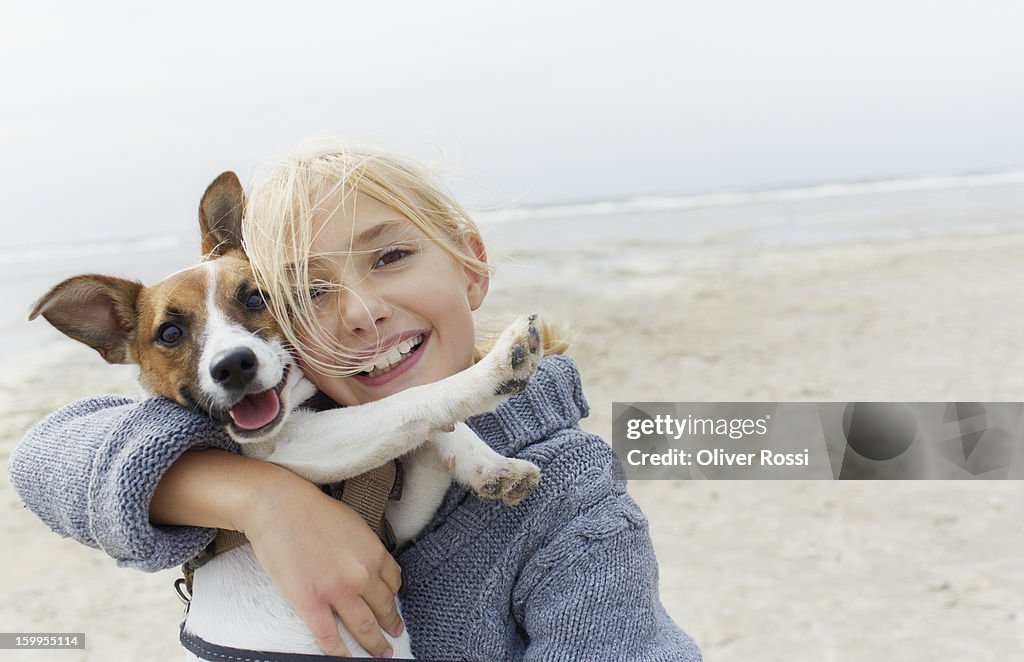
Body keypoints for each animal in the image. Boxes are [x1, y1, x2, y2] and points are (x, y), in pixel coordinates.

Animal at [28, 174, 544, 659]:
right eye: (170, 333)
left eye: (255, 298)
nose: (234, 365)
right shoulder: (294, 445)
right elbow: (410, 400)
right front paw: (495, 368)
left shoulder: (397, 519)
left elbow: (431, 430)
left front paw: (490, 465)